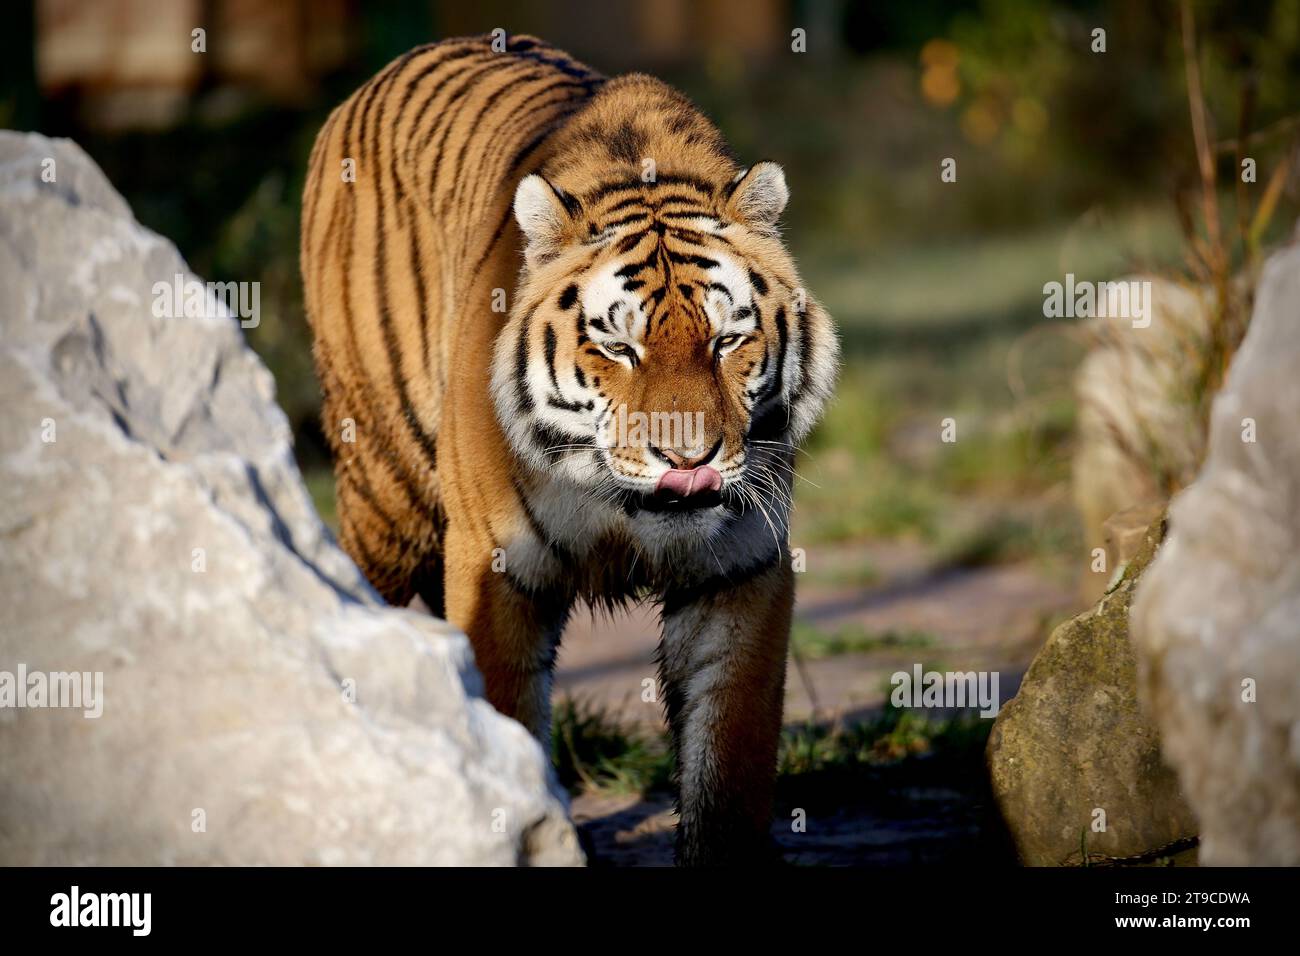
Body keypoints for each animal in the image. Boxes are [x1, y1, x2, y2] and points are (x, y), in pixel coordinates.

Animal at [299, 33, 837, 868]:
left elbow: (728, 759)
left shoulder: (742, 568)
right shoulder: (494, 568)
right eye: (618, 346)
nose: (689, 460)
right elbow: (510, 722)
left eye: (726, 340)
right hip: (387, 491)